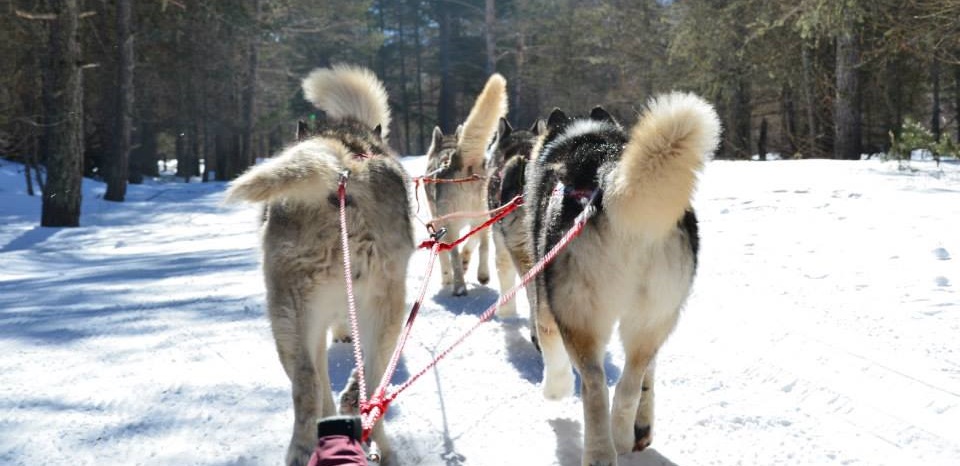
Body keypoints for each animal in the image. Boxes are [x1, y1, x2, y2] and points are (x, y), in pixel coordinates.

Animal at [226, 63, 412, 464]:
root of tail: (340, 169)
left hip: (289, 319)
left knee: (309, 387)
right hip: (383, 310)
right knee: (368, 392)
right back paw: (381, 445)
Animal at [422, 75, 506, 296]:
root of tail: (462, 163)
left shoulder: (439, 225)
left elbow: (444, 258)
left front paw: (446, 279)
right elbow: (473, 244)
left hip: (451, 225)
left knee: (453, 256)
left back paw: (459, 286)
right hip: (484, 215)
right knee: (483, 246)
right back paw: (482, 274)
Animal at [524, 93, 720, 464]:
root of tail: (610, 177)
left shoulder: (545, 303)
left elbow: (550, 346)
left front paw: (554, 389)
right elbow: (648, 377)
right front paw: (643, 425)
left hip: (580, 316)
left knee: (595, 385)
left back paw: (600, 450)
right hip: (654, 316)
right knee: (629, 384)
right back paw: (622, 435)